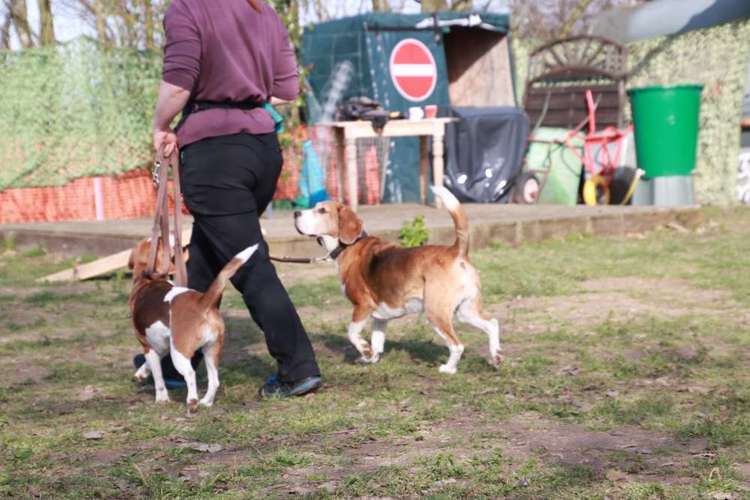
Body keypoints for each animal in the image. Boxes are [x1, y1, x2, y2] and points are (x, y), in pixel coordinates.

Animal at [129, 237, 258, 410]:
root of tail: (203, 301)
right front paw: (141, 373)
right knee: (214, 381)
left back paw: (192, 401)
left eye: (160, 240)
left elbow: (158, 378)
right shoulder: (161, 345)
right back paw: (206, 402)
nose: (170, 237)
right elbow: (150, 364)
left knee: (190, 374)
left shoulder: (148, 345)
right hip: (211, 350)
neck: (148, 280)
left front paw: (162, 399)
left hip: (179, 353)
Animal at [292, 186, 500, 374]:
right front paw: (370, 358)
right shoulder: (379, 317)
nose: (295, 213)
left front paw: (364, 350)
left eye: (321, 210)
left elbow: (352, 333)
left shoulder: (362, 306)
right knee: (492, 324)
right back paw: (496, 356)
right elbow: (377, 342)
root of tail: (456, 251)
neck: (347, 246)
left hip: (436, 312)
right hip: (464, 311)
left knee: (457, 345)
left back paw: (448, 369)